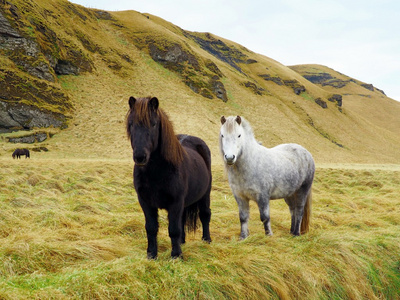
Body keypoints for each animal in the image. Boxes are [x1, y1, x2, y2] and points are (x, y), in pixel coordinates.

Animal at [126, 95, 212, 258]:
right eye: (132, 124)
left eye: (153, 124)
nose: (140, 157)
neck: (156, 173)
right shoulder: (145, 202)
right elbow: (151, 228)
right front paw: (151, 254)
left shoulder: (175, 202)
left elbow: (174, 229)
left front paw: (176, 255)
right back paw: (183, 242)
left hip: (205, 194)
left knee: (205, 215)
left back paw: (207, 240)